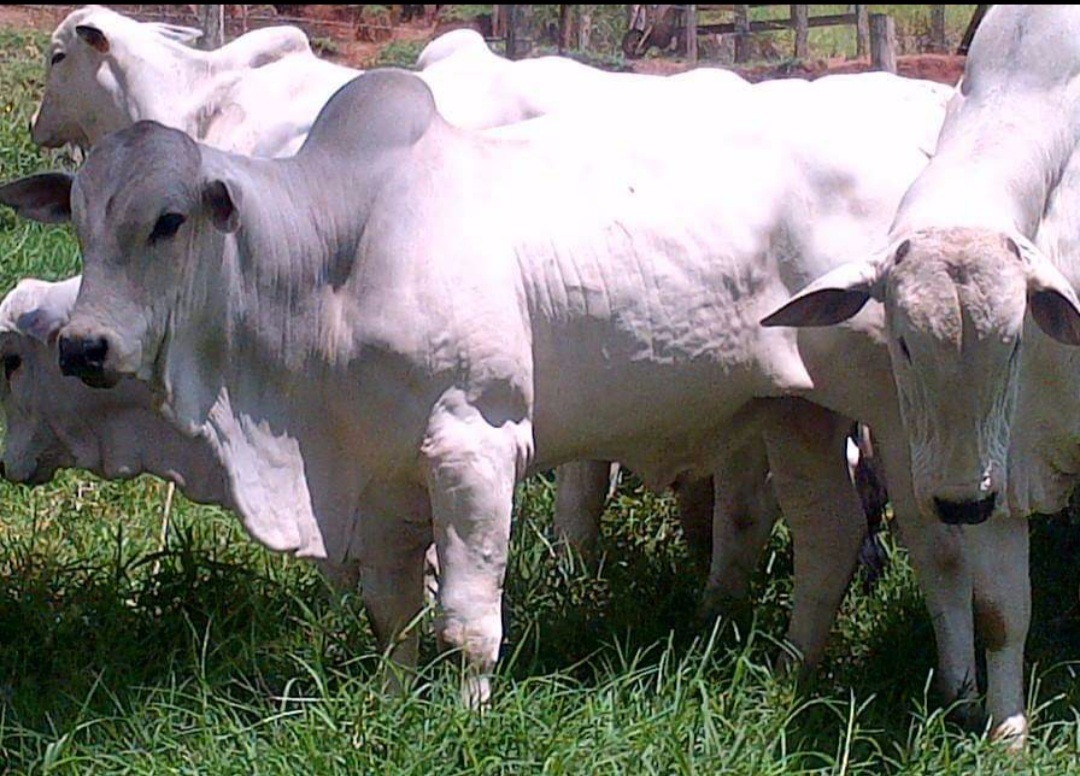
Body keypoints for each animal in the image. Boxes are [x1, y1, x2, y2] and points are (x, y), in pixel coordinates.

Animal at [0, 69, 946, 708]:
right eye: (78, 223)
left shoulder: (474, 445)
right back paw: (790, 672)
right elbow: (391, 611)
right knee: (827, 536)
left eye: (169, 221)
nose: (85, 346)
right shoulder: (380, 470)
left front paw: (464, 714)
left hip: (900, 417)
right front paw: (388, 702)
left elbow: (464, 618)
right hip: (799, 413)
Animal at [764, 6, 1080, 746]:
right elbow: (999, 611)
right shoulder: (1003, 470)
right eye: (903, 344)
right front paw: (1007, 734)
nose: (960, 503)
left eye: (1014, 342)